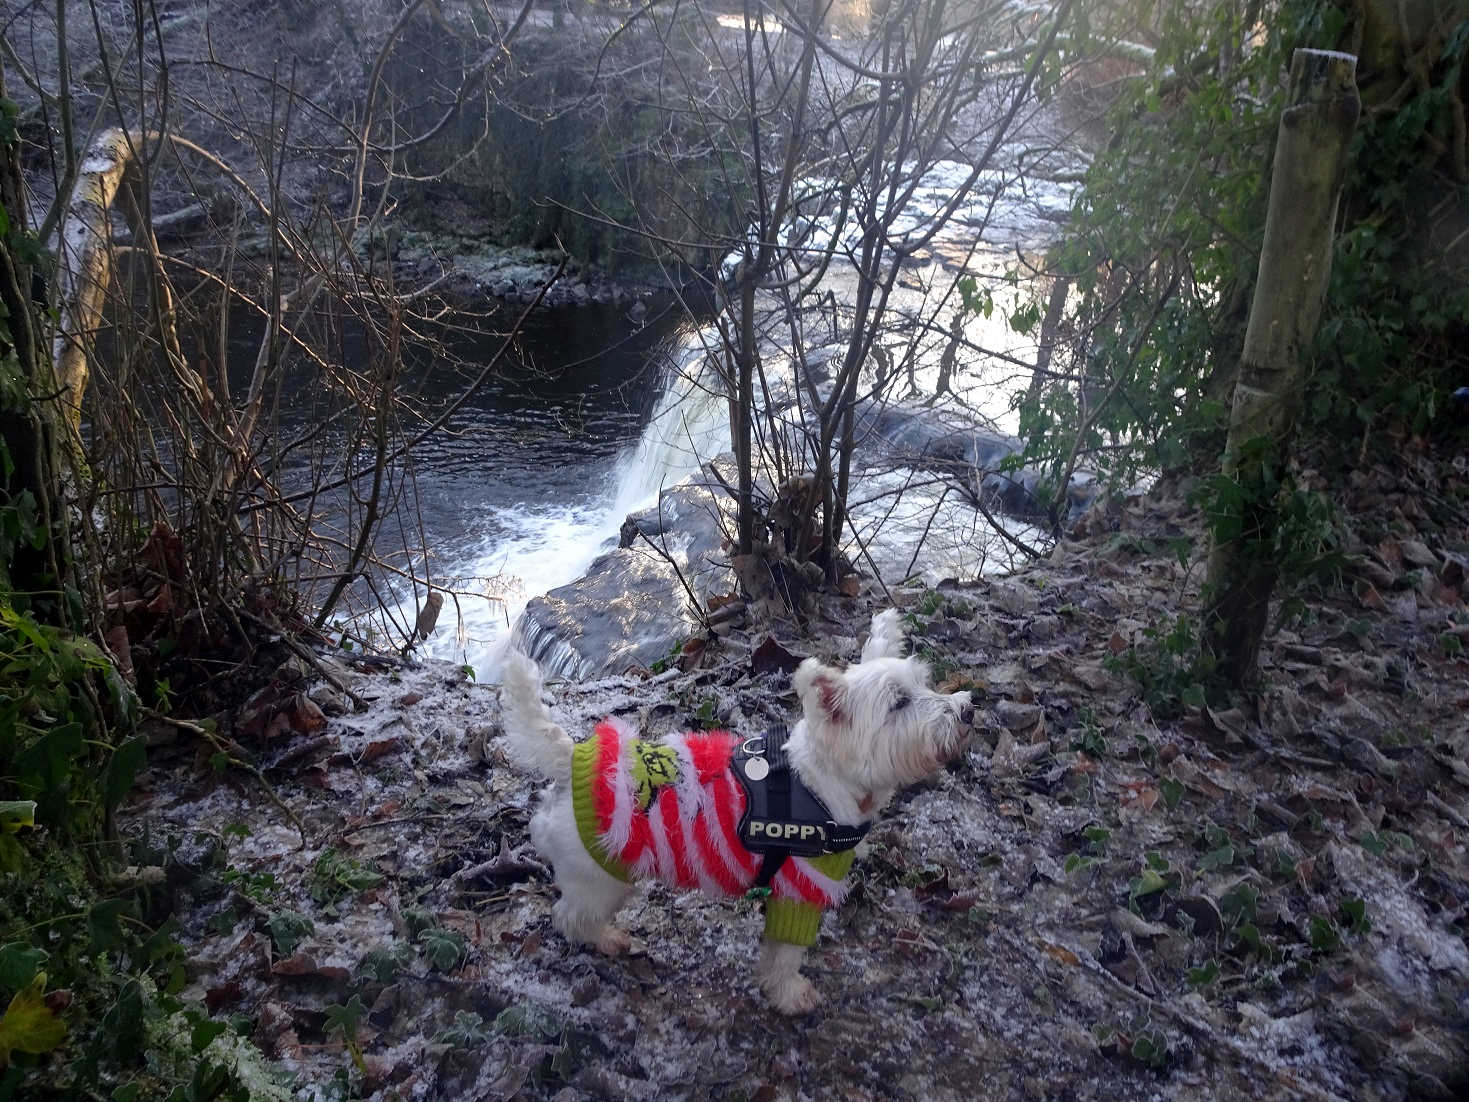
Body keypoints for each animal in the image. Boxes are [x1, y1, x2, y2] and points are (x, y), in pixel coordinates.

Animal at [502, 614, 975, 1016]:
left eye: (925, 684)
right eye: (899, 703)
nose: (968, 709)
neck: (820, 781)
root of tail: (573, 761)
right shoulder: (800, 888)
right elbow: (784, 954)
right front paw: (790, 995)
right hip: (600, 878)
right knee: (570, 916)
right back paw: (607, 940)